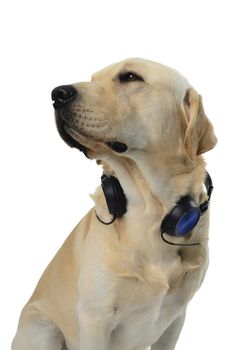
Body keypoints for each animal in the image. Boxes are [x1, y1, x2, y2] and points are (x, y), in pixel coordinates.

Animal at [12, 58, 216, 348]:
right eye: (93, 78)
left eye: (130, 77)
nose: (57, 93)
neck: (150, 212)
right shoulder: (94, 320)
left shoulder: (176, 319)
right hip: (44, 329)